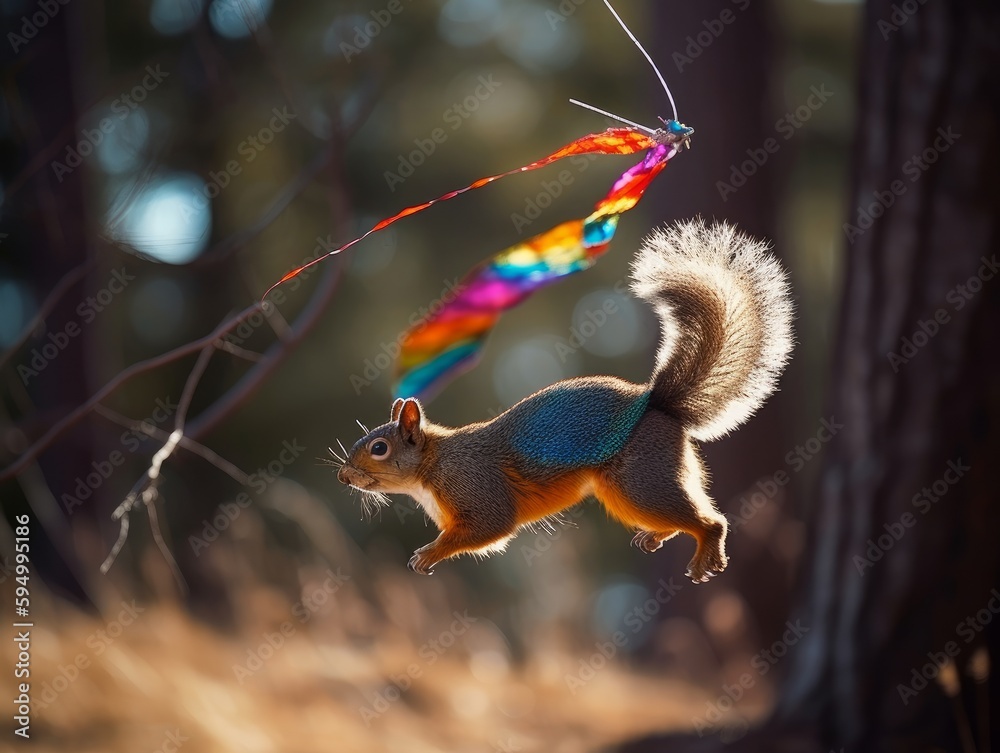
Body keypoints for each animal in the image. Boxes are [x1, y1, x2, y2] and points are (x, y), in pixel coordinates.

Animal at [337, 218, 793, 582]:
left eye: (379, 448)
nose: (343, 477)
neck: (432, 466)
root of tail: (658, 407)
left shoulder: (476, 488)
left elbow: (488, 528)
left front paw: (428, 553)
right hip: (631, 491)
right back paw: (658, 535)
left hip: (640, 479)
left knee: (709, 521)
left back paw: (706, 552)